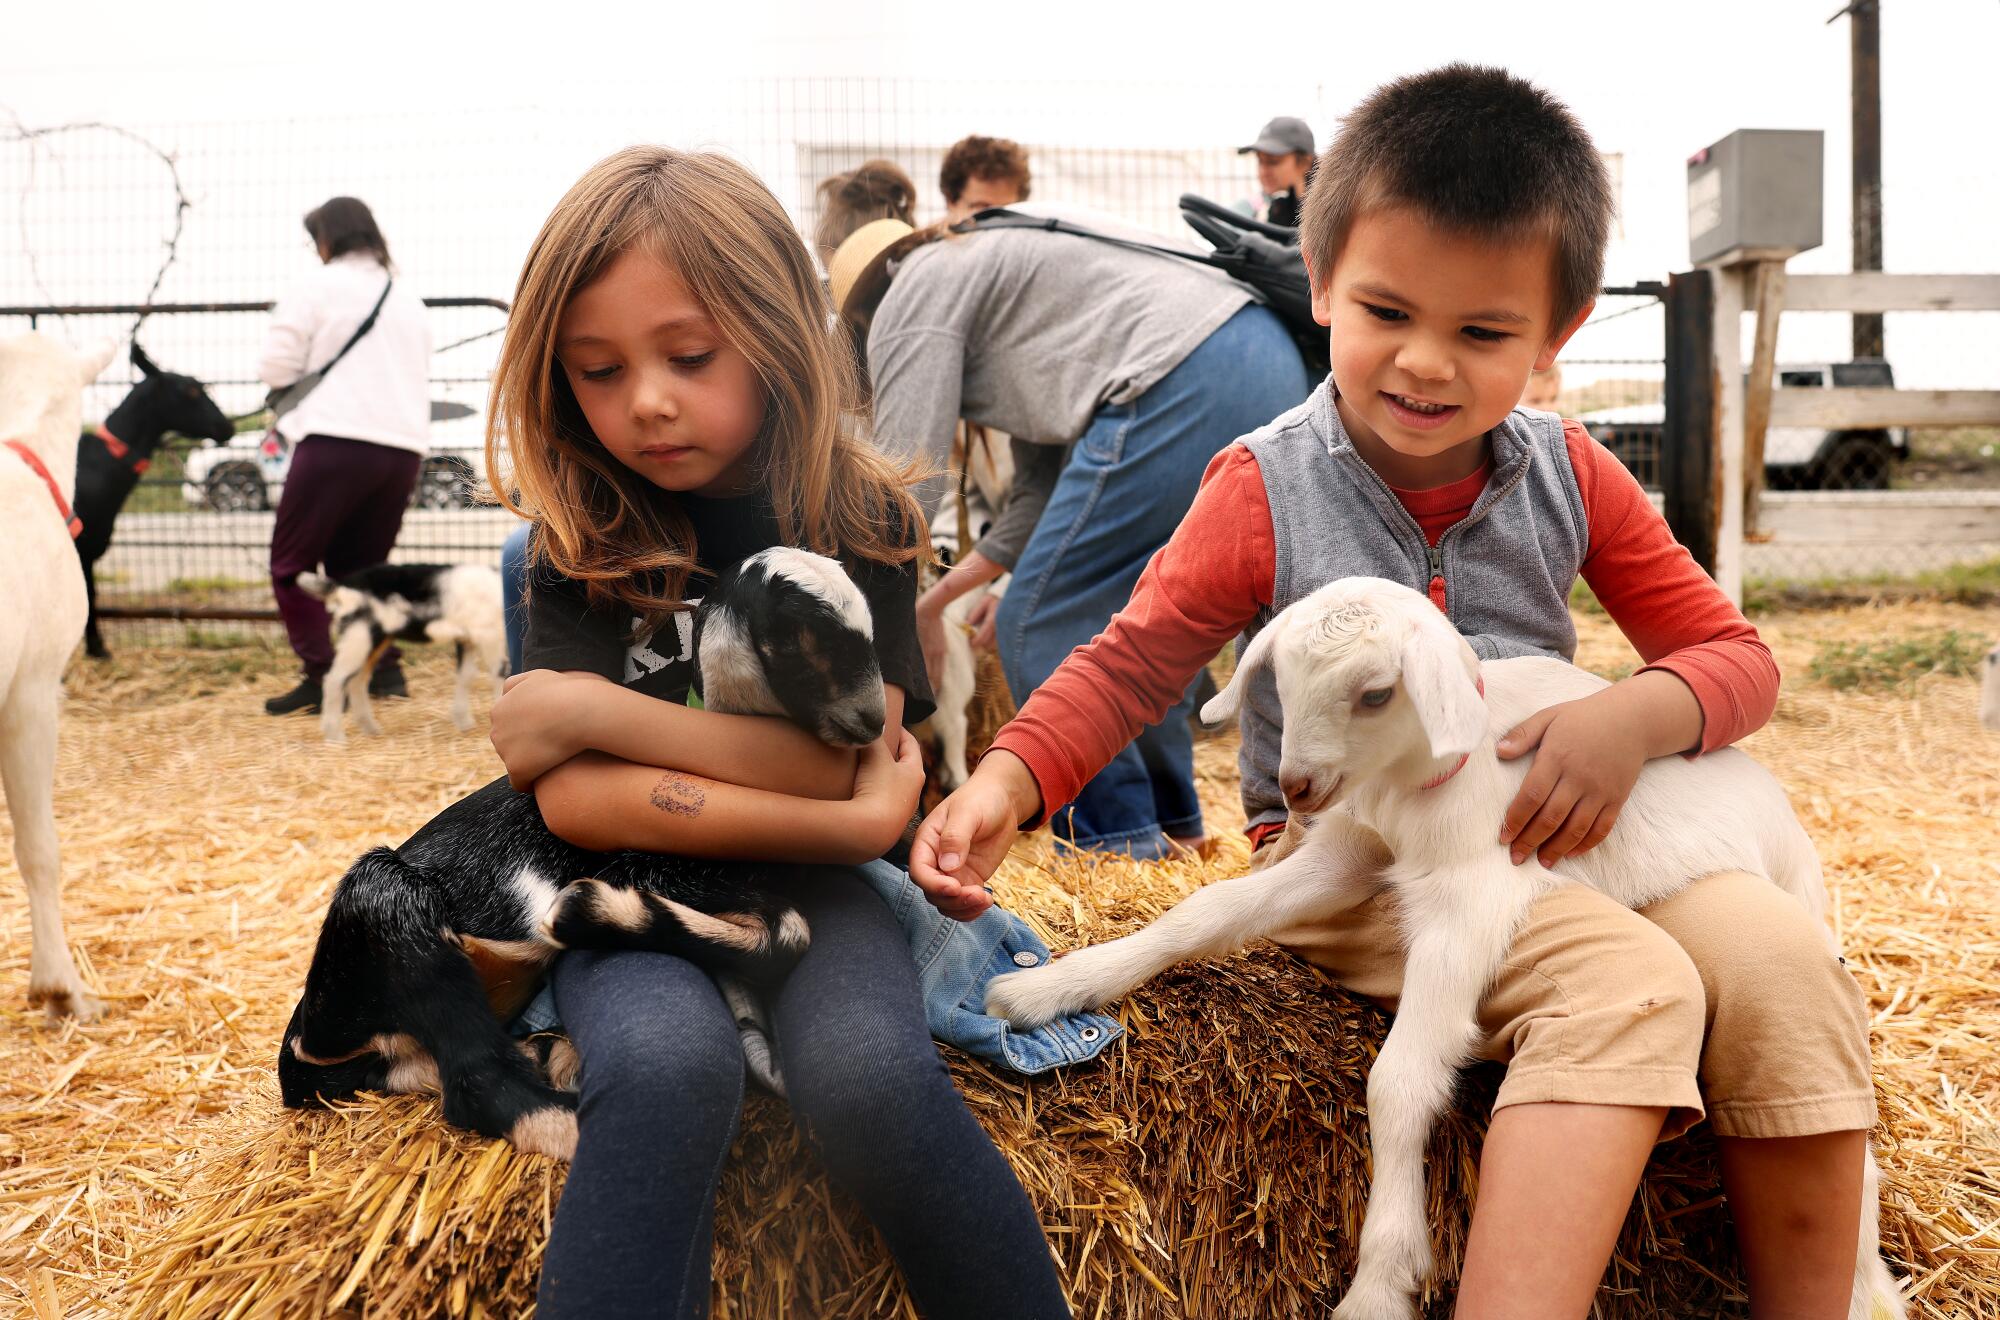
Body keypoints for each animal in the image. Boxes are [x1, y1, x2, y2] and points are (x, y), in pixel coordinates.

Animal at [76, 342, 232, 656]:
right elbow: (88, 595)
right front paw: (97, 649)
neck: (97, 465)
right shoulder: (80, 546)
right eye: (190, 391)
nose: (227, 427)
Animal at [302, 556, 512, 744]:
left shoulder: (467, 638)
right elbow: (500, 674)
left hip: (375, 639)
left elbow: (466, 676)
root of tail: (342, 587)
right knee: (335, 680)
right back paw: (335, 737)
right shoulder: (489, 634)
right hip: (359, 635)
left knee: (357, 680)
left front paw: (464, 723)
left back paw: (370, 729)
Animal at [992, 576, 1896, 1320]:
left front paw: (1382, 1282)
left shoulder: (1472, 897)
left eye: (1375, 693)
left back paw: (1868, 1291)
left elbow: (1400, 1078)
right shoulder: (1344, 855)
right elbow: (1203, 913)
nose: (1297, 788)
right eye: (1282, 680)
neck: (1410, 787)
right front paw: (1045, 990)